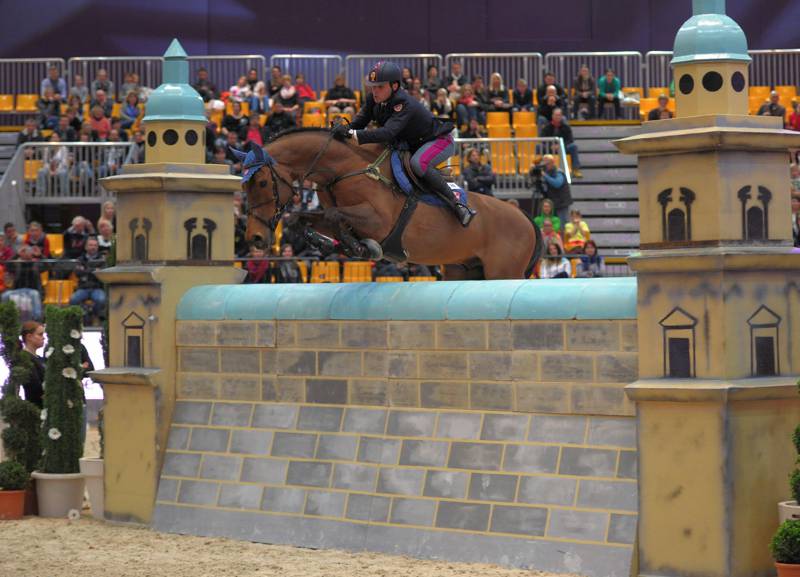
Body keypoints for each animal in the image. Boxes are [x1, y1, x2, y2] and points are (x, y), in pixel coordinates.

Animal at [234, 127, 540, 280]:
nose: (256, 239)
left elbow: (335, 215)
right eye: (244, 185)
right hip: (463, 270)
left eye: (262, 183)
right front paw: (326, 242)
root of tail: (526, 219)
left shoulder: (379, 221)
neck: (343, 169)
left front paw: (361, 246)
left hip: (503, 273)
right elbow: (308, 218)